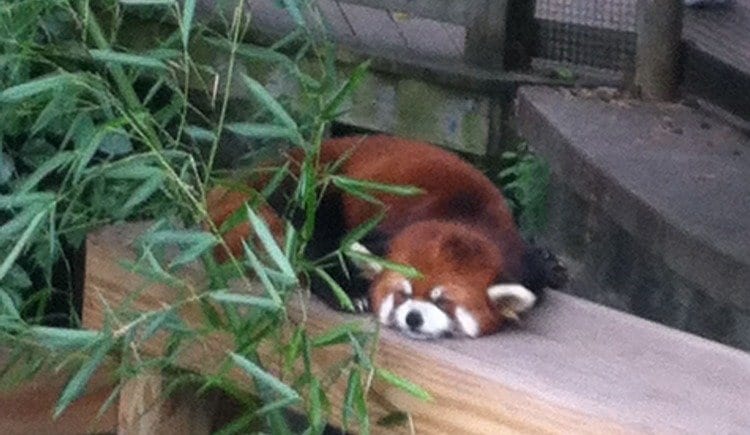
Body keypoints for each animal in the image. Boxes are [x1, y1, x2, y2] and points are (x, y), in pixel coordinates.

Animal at [203, 135, 568, 338]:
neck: (467, 219)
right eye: (402, 293)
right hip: (315, 183)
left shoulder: (518, 255)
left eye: (444, 302)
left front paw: (550, 265)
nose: (413, 317)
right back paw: (345, 290)